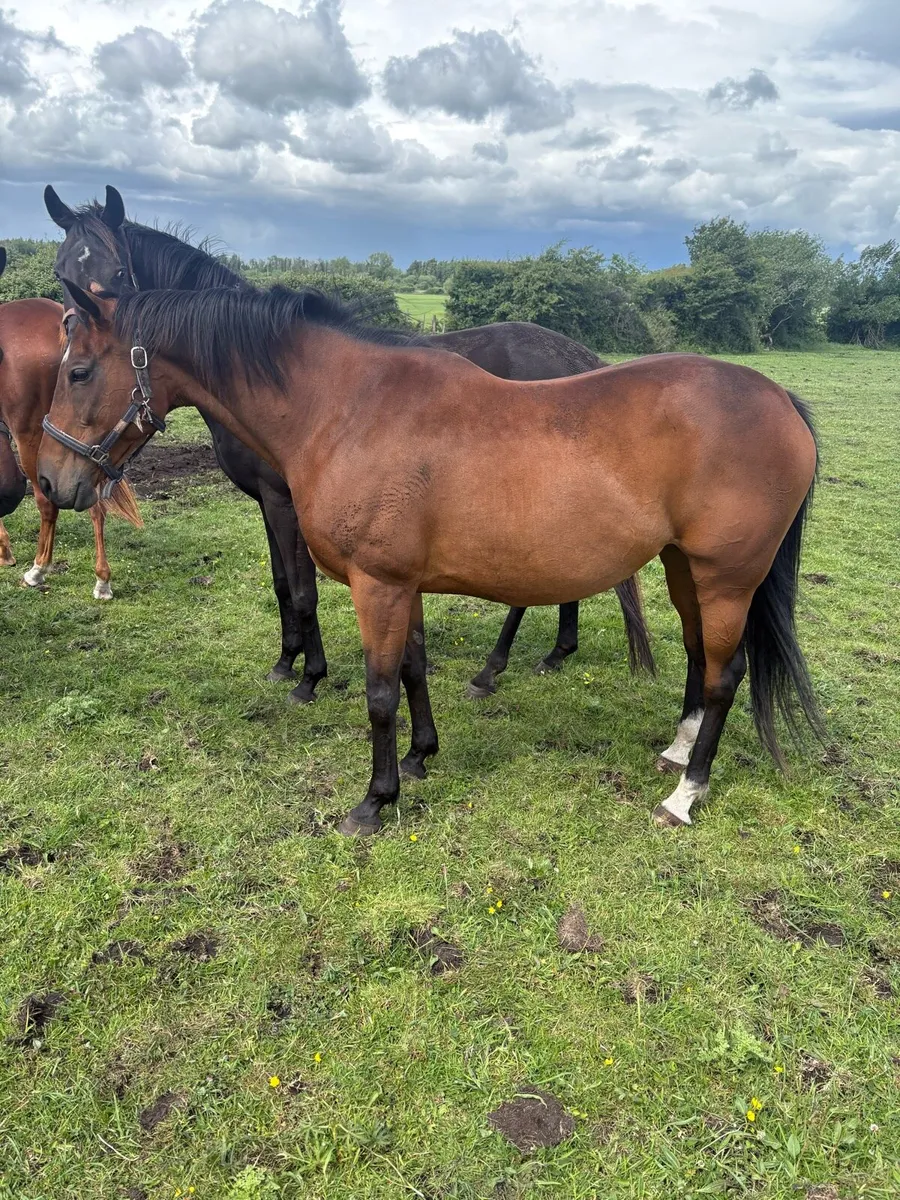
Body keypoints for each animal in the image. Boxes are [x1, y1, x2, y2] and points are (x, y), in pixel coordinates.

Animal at [39, 282, 822, 834]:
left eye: (78, 372)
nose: (51, 481)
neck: (347, 409)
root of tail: (781, 398)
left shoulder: (377, 584)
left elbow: (380, 692)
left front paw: (374, 800)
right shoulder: (401, 583)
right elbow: (413, 670)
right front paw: (420, 759)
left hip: (726, 577)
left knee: (725, 675)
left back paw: (686, 792)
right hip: (682, 565)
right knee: (698, 655)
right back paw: (678, 750)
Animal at [44, 185, 652, 700]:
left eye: (117, 269)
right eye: (60, 269)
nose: (76, 326)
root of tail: (572, 355)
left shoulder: (284, 501)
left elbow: (302, 589)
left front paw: (309, 676)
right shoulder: (267, 502)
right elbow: (280, 583)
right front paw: (286, 661)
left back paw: (491, 668)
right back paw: (556, 652)